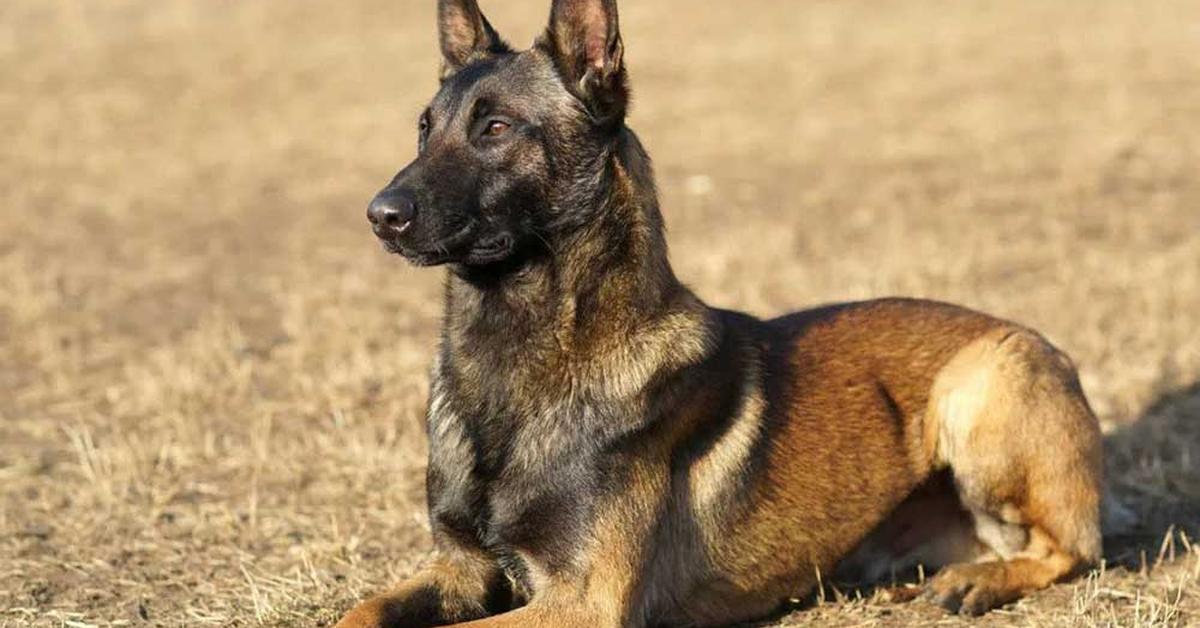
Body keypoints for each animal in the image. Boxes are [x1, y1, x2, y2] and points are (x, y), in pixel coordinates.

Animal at [333, 0, 1099, 624]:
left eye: (495, 127)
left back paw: (980, 582)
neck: (512, 360)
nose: (379, 216)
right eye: (425, 129)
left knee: (1071, 549)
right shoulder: (461, 570)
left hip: (981, 385)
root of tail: (1029, 335)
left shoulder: (582, 603)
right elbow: (359, 613)